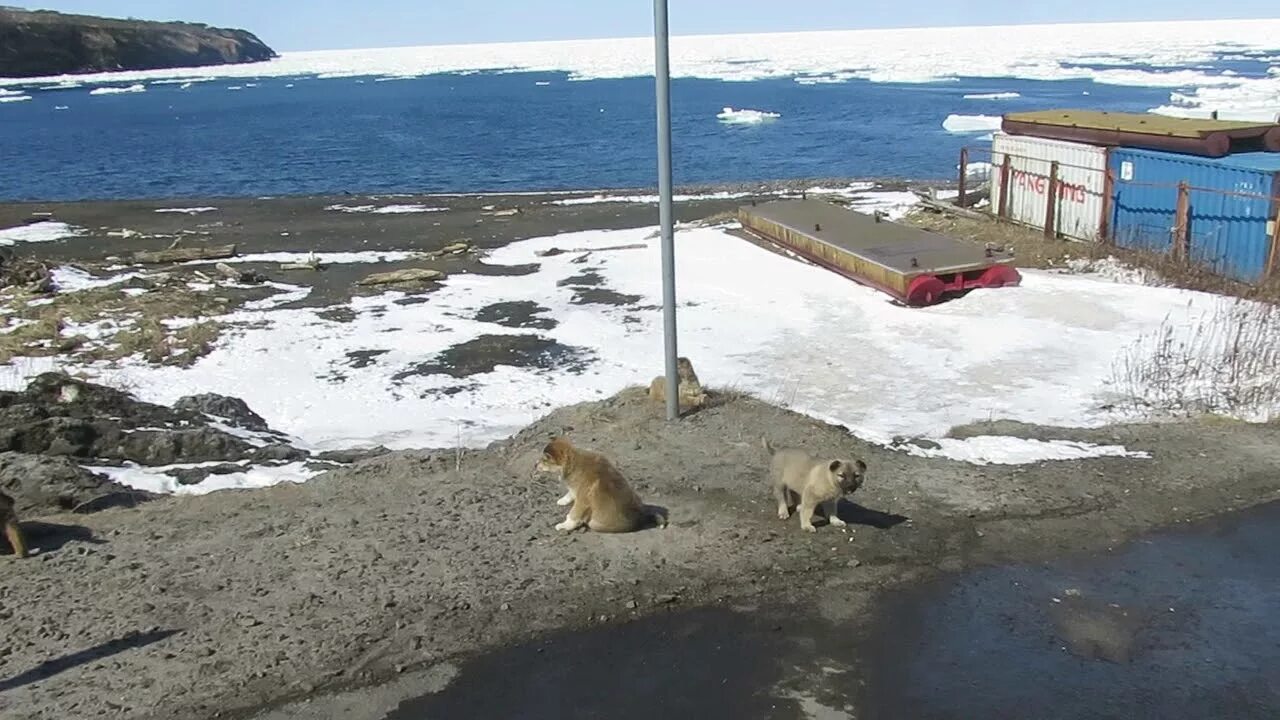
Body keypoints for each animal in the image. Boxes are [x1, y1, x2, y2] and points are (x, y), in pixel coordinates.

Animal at [535, 435, 665, 530]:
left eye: (544, 460)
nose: (535, 465)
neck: (573, 464)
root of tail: (642, 516)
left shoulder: (583, 499)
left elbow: (574, 514)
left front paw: (564, 525)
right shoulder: (575, 489)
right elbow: (570, 493)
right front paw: (563, 500)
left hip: (595, 523)